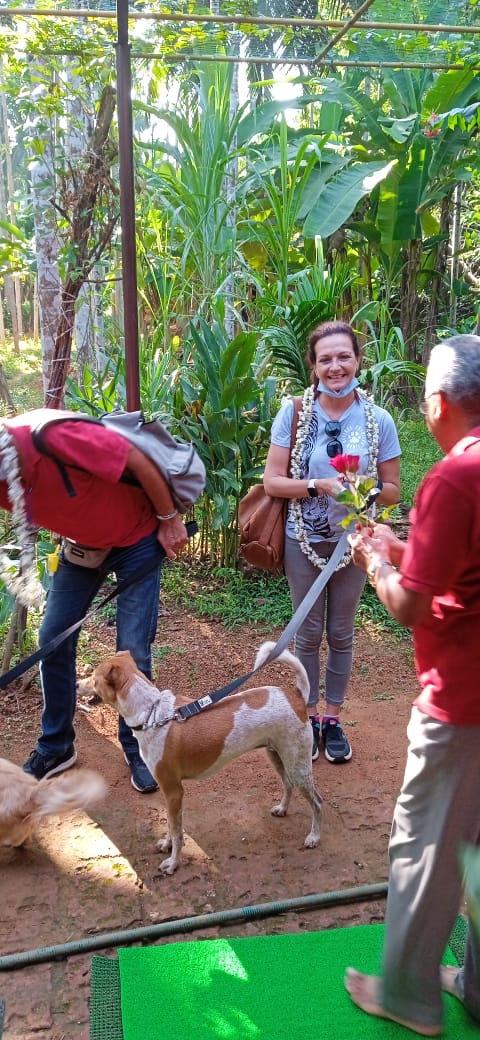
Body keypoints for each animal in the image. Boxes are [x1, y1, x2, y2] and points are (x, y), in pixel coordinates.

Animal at [93, 642, 322, 874]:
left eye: (93, 679)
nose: (82, 681)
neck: (153, 714)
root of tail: (296, 696)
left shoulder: (174, 792)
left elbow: (177, 833)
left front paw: (173, 863)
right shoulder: (169, 794)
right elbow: (171, 825)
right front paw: (166, 845)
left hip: (298, 766)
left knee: (317, 802)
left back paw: (314, 837)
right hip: (278, 756)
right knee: (288, 784)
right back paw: (283, 809)